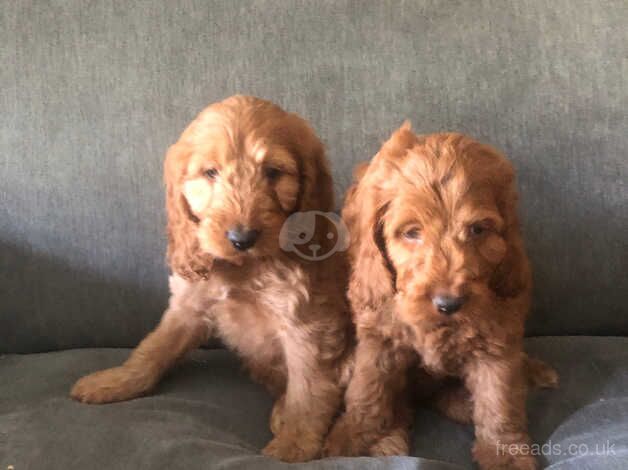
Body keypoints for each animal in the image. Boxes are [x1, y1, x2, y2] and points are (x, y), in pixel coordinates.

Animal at [72, 95, 354, 462]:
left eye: (273, 172)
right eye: (210, 172)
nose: (242, 238)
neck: (243, 268)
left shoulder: (306, 325)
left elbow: (308, 389)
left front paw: (292, 446)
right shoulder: (189, 307)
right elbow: (154, 348)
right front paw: (116, 380)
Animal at [326, 125, 556, 470]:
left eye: (477, 230)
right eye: (411, 232)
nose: (449, 304)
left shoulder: (497, 342)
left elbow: (499, 401)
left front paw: (506, 455)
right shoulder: (379, 339)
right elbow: (368, 391)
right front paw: (350, 437)